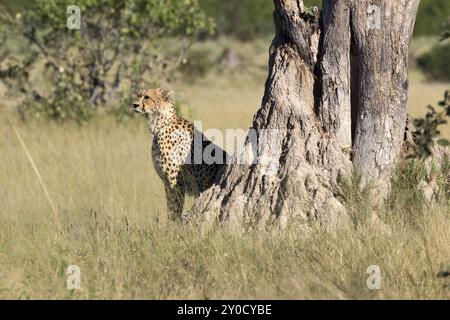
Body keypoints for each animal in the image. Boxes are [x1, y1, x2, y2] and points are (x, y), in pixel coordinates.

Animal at [132, 89, 227, 221]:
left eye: (147, 97)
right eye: (139, 95)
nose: (134, 104)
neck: (159, 124)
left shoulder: (175, 182)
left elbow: (175, 208)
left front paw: (172, 225)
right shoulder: (167, 182)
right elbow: (170, 206)